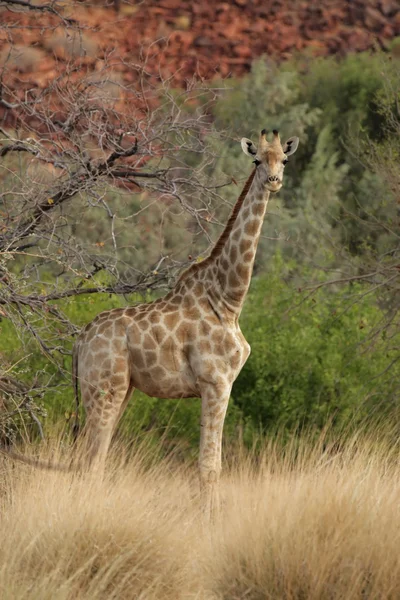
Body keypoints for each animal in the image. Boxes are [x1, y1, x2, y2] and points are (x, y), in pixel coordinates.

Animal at [72, 130, 298, 516]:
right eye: (256, 160)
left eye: (283, 159)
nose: (273, 181)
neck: (228, 299)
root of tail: (82, 339)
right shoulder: (216, 382)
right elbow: (209, 465)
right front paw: (208, 519)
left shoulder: (220, 384)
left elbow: (210, 463)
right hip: (103, 387)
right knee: (92, 459)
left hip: (122, 389)